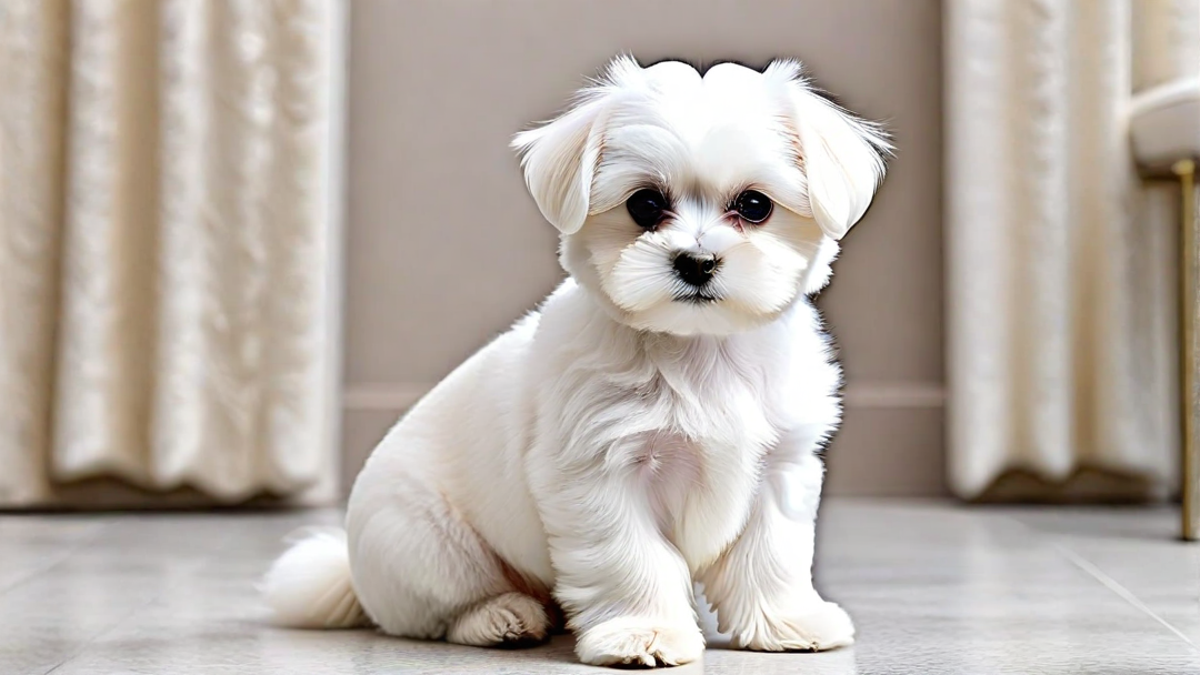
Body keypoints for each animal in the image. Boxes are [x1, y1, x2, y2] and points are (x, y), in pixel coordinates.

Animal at [267, 55, 888, 662]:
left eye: (755, 206)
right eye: (645, 204)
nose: (696, 261)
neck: (698, 348)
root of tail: (352, 571)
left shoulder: (781, 466)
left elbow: (772, 555)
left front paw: (788, 622)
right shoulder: (601, 473)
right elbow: (633, 557)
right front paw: (644, 633)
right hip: (425, 541)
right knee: (443, 606)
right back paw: (500, 617)